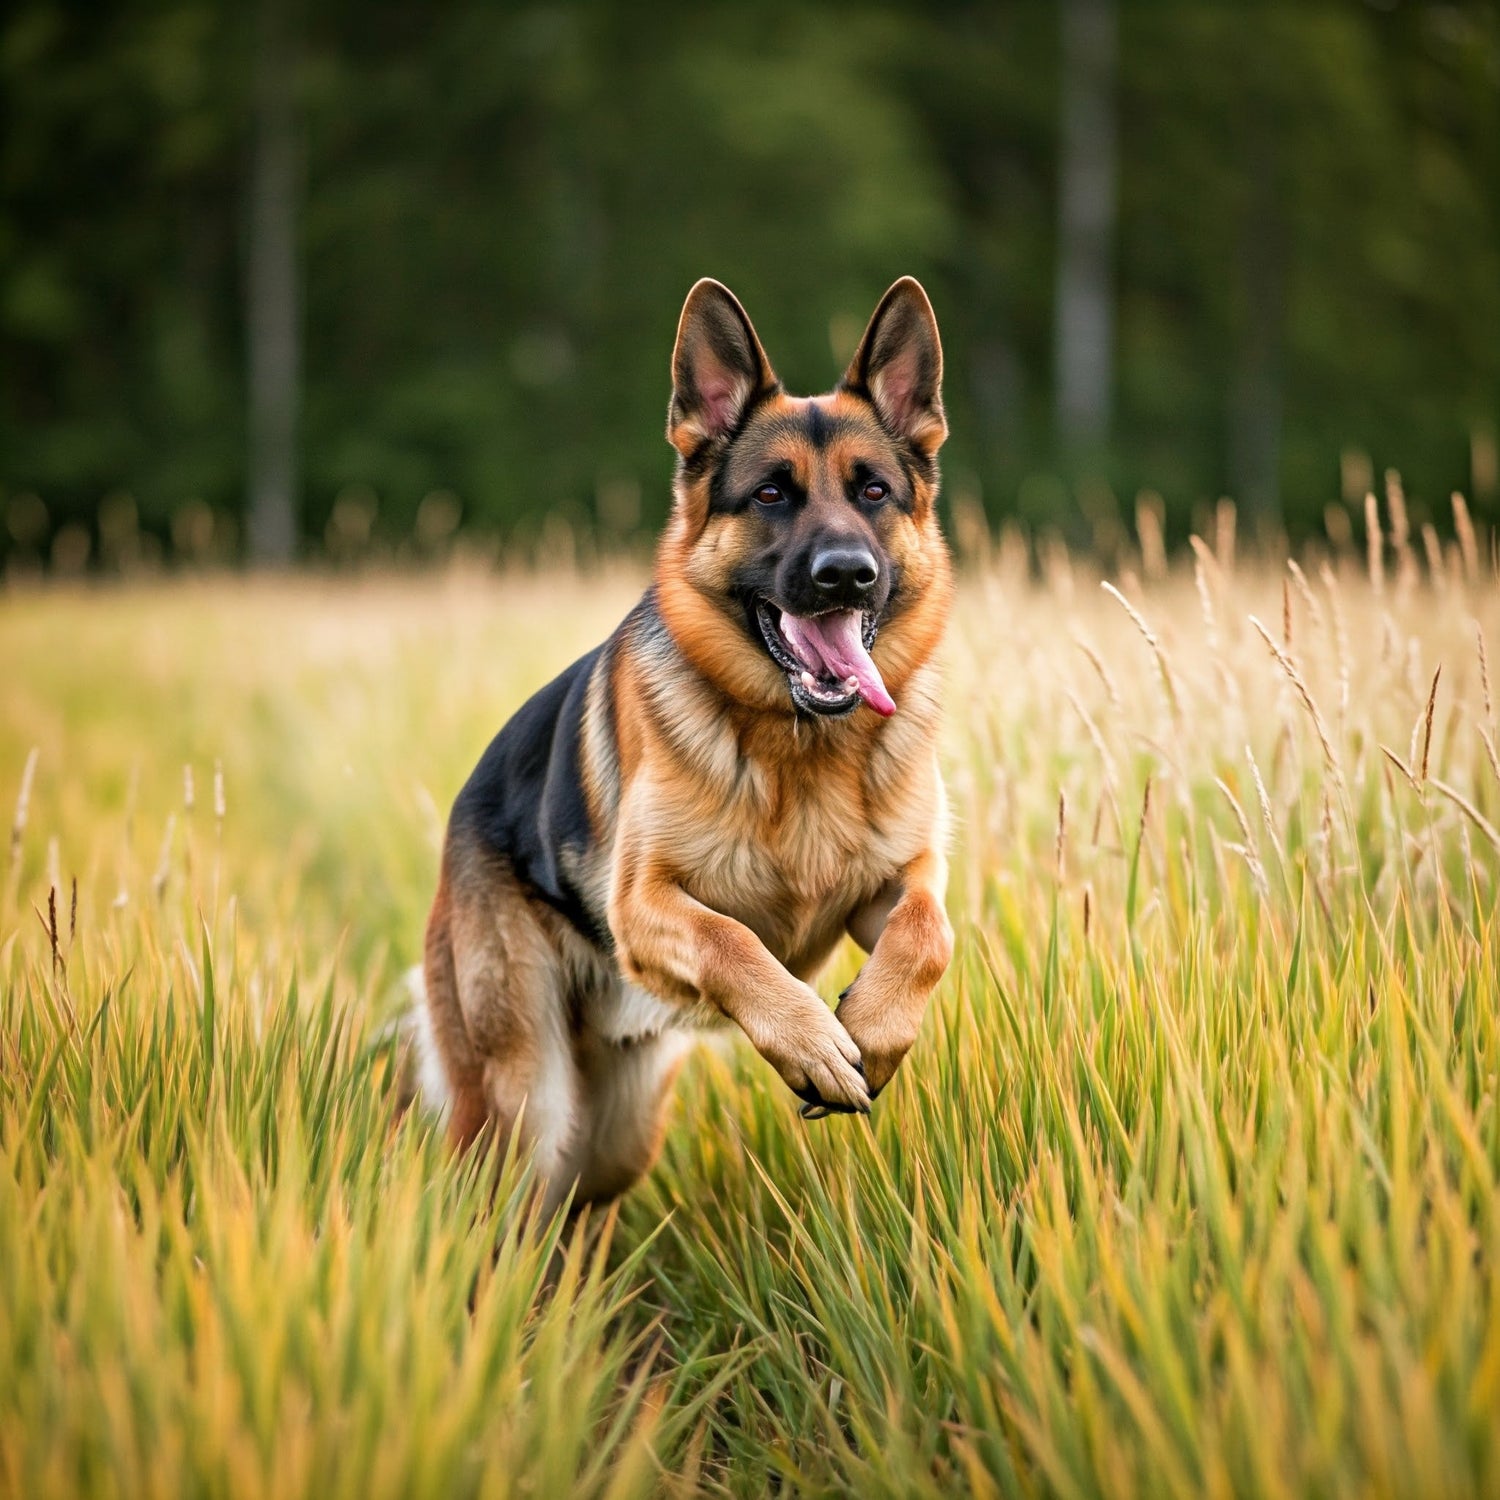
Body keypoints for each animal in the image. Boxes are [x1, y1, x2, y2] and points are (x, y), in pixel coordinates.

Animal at [405, 279, 954, 1206]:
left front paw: (873, 1033)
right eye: (770, 495)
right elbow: (731, 940)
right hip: (525, 1108)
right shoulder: (645, 905)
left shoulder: (897, 882)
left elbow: (928, 934)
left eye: (874, 491)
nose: (847, 573)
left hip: (619, 1130)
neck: (801, 749)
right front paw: (812, 1041)